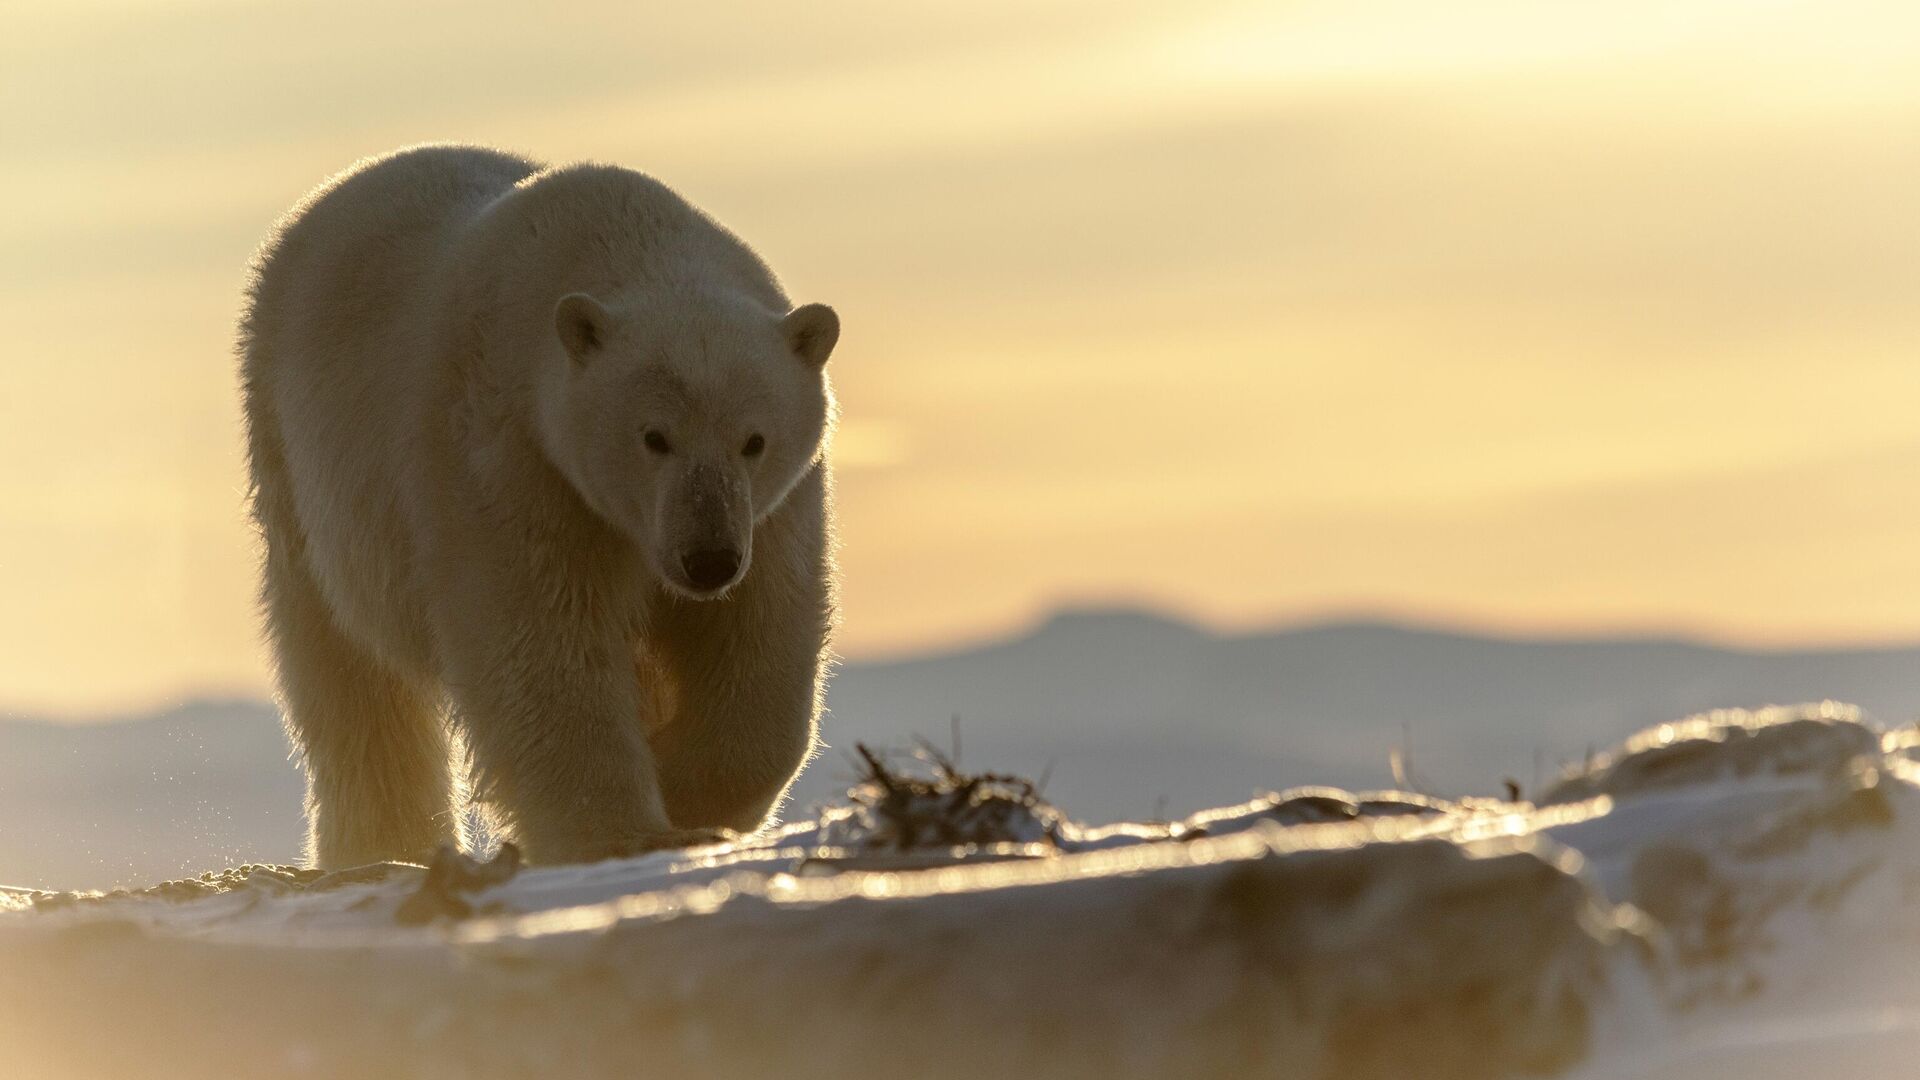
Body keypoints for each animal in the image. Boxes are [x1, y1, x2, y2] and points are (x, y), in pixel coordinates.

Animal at [240, 143, 840, 864]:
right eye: (654, 436)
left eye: (754, 440)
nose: (709, 559)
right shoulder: (508, 457)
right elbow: (538, 639)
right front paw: (619, 831)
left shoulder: (772, 511)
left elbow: (761, 632)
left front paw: (690, 792)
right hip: (300, 469)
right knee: (350, 676)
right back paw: (382, 845)